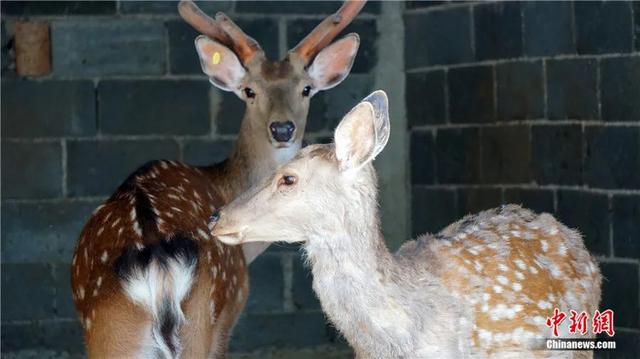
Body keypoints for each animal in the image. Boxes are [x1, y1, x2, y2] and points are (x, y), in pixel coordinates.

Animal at [70, 1, 364, 358]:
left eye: (305, 89)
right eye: (250, 91)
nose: (282, 128)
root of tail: (155, 259)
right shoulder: (229, 316)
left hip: (108, 329)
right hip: (203, 314)